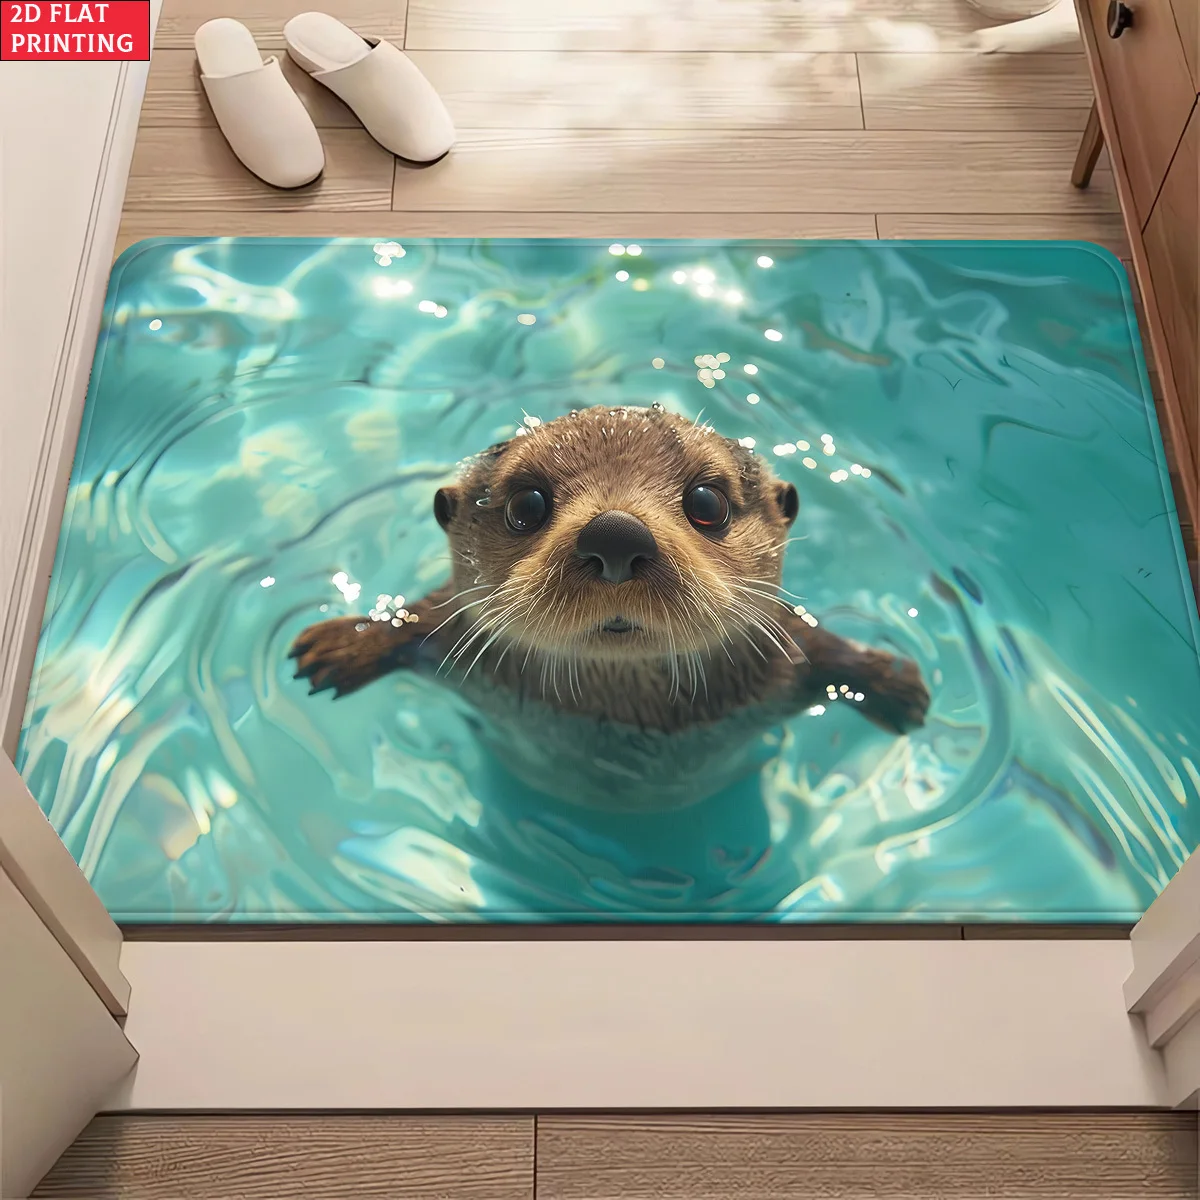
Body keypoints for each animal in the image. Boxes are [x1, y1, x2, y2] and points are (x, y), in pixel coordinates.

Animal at [290, 404, 931, 808]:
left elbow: (824, 649)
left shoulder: (782, 664)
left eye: (707, 502)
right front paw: (341, 646)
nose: (616, 534)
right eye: (526, 504)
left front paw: (894, 684)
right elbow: (417, 621)